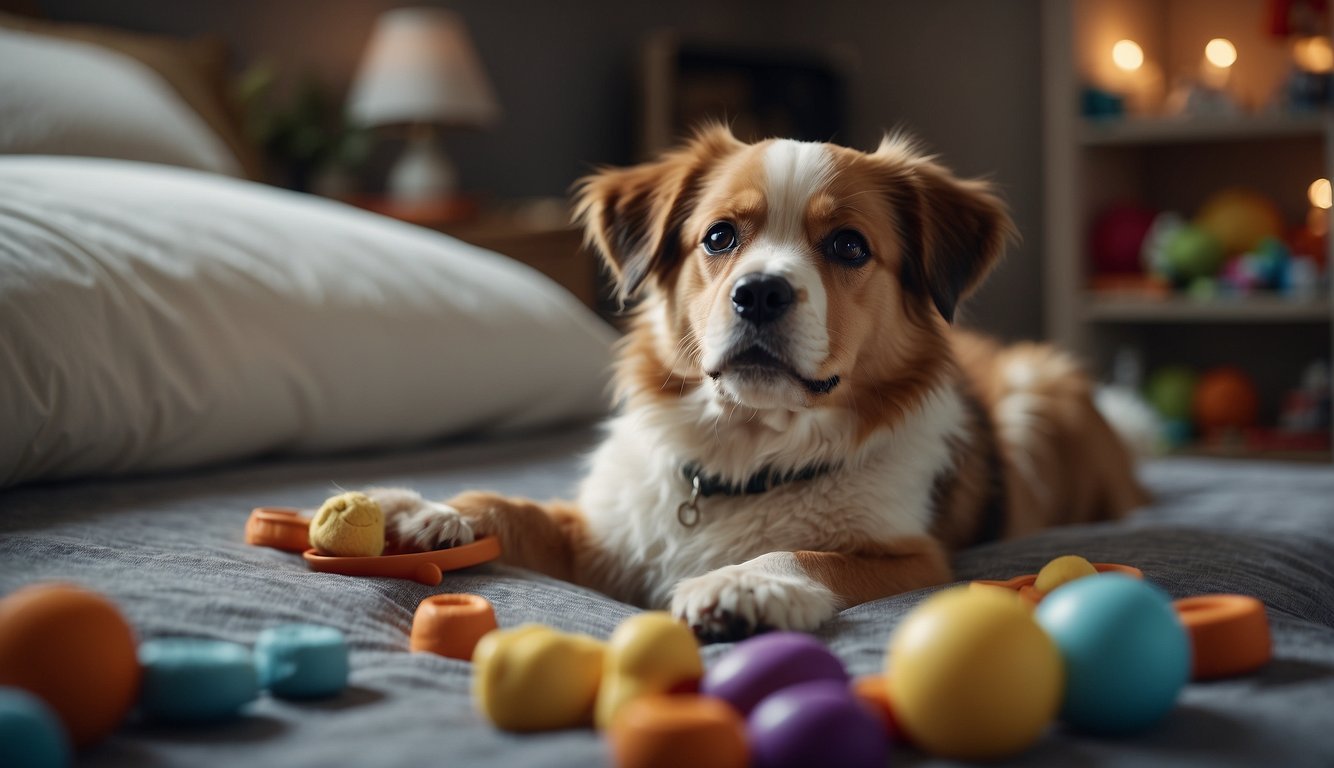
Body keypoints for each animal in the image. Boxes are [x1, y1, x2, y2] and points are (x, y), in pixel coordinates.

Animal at [362, 126, 1147, 642]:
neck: (745, 451)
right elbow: (517, 508)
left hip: (1036, 397)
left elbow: (810, 553)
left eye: (849, 246)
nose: (761, 294)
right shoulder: (606, 537)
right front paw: (429, 510)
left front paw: (746, 581)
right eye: (719, 237)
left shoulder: (916, 557)